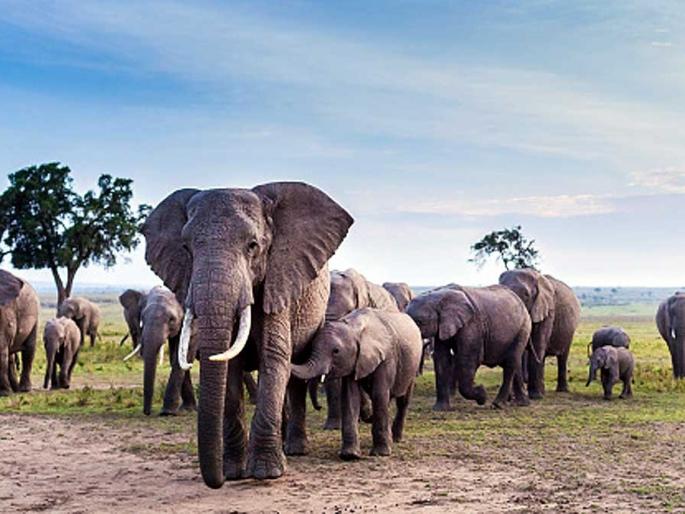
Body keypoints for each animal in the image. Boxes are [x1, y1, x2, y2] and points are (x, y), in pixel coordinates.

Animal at [119, 287, 196, 416]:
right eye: (142, 318)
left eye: (171, 320)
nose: (147, 412)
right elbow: (175, 356)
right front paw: (187, 409)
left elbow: (182, 356)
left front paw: (168, 412)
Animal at [142, 182, 353, 485]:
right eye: (186, 248)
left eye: (253, 246)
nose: (216, 481)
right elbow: (228, 367)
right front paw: (232, 472)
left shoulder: (278, 282)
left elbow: (273, 357)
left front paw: (266, 473)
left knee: (295, 376)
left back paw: (294, 450)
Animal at [291, 308, 422, 460]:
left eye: (336, 351)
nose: (319, 407)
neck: (354, 327)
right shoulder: (352, 361)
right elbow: (350, 397)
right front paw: (350, 455)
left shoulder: (386, 358)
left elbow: (378, 395)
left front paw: (381, 454)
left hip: (413, 366)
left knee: (402, 401)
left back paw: (396, 439)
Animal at [499, 269, 580, 399]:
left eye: (526, 295)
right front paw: (511, 398)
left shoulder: (548, 310)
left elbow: (537, 345)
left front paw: (535, 396)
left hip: (569, 331)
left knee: (562, 356)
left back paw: (561, 390)